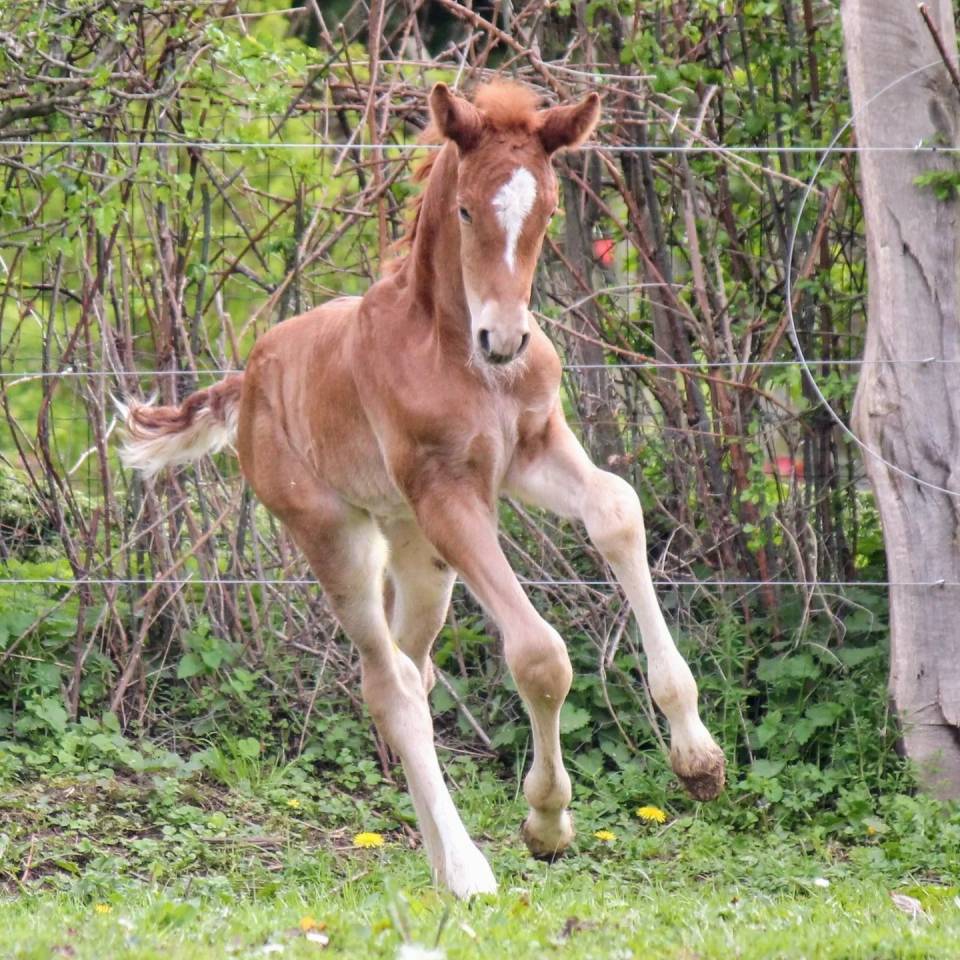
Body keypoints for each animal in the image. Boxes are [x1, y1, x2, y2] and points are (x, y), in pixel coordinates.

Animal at [119, 81, 726, 898]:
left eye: (546, 211)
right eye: (466, 210)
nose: (505, 340)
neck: (455, 354)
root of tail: (247, 380)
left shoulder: (533, 450)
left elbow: (618, 511)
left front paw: (698, 759)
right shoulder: (449, 496)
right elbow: (541, 655)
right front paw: (546, 822)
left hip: (416, 554)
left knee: (413, 670)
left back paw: (442, 857)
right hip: (337, 537)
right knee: (390, 687)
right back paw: (468, 870)